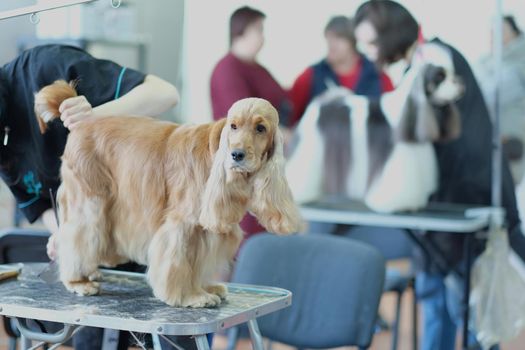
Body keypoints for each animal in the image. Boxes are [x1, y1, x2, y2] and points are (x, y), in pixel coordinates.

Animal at [33, 80, 302, 308]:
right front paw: (190, 296)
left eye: (261, 128)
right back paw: (78, 281)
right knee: (76, 237)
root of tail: (83, 123)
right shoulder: (182, 224)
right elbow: (178, 261)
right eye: (233, 126)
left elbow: (199, 263)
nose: (236, 155)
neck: (214, 150)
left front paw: (206, 287)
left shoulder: (206, 232)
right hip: (90, 202)